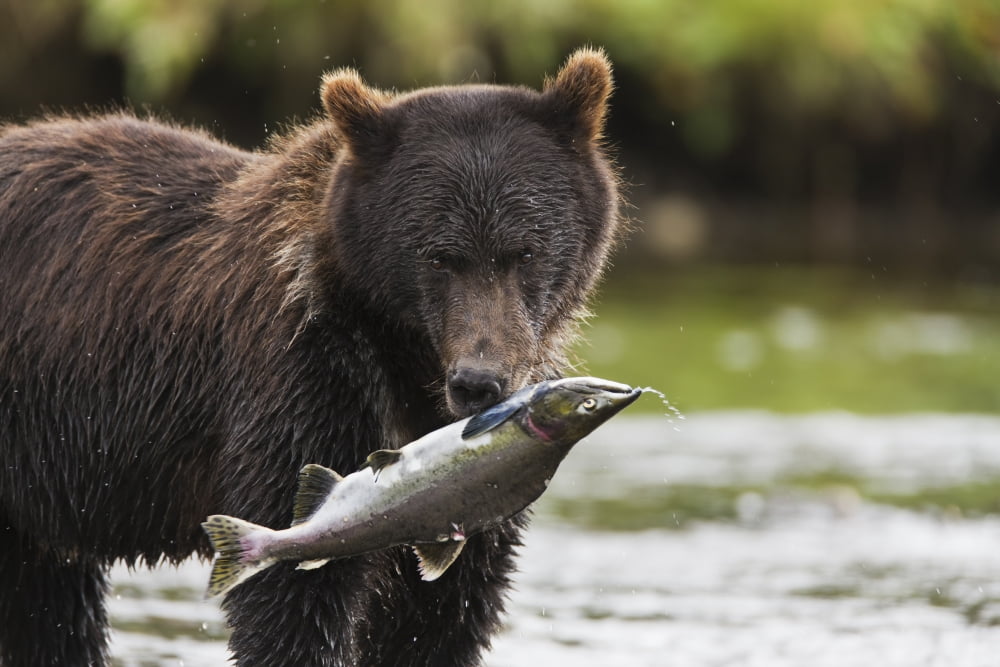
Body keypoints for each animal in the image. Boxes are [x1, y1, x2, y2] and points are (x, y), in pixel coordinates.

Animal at [0, 47, 625, 666]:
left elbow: (445, 609)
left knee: (50, 610)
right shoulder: (305, 376)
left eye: (525, 251)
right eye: (438, 257)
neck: (407, 359)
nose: (479, 382)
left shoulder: (471, 493)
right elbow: (295, 597)